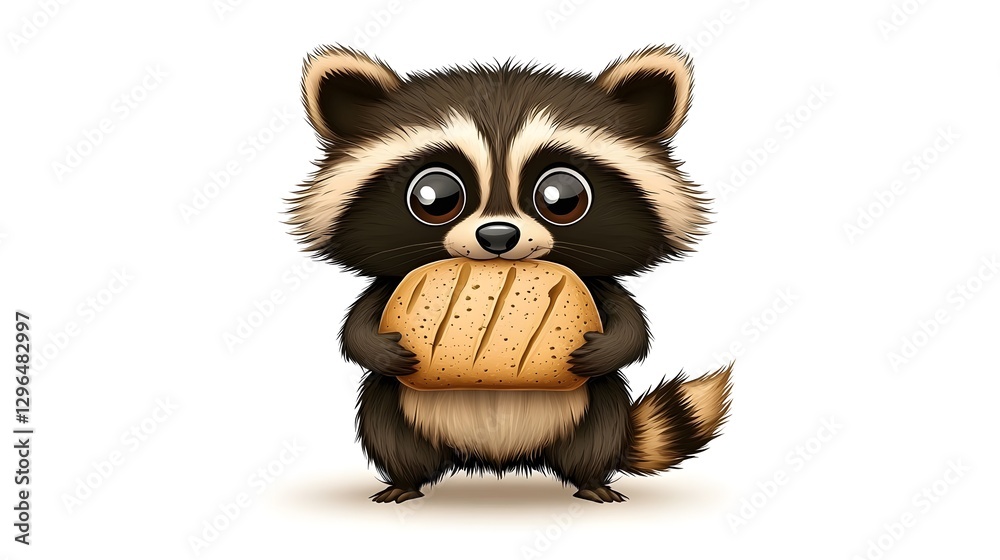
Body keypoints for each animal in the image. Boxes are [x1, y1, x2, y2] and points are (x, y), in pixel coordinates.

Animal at [288, 45, 732, 503]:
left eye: (562, 197)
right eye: (435, 196)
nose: (498, 236)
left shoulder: (599, 286)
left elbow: (632, 326)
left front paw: (608, 347)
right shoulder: (388, 288)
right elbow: (358, 326)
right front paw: (377, 348)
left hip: (594, 413)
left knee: (596, 436)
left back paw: (592, 481)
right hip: (399, 414)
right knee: (390, 433)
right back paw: (404, 481)